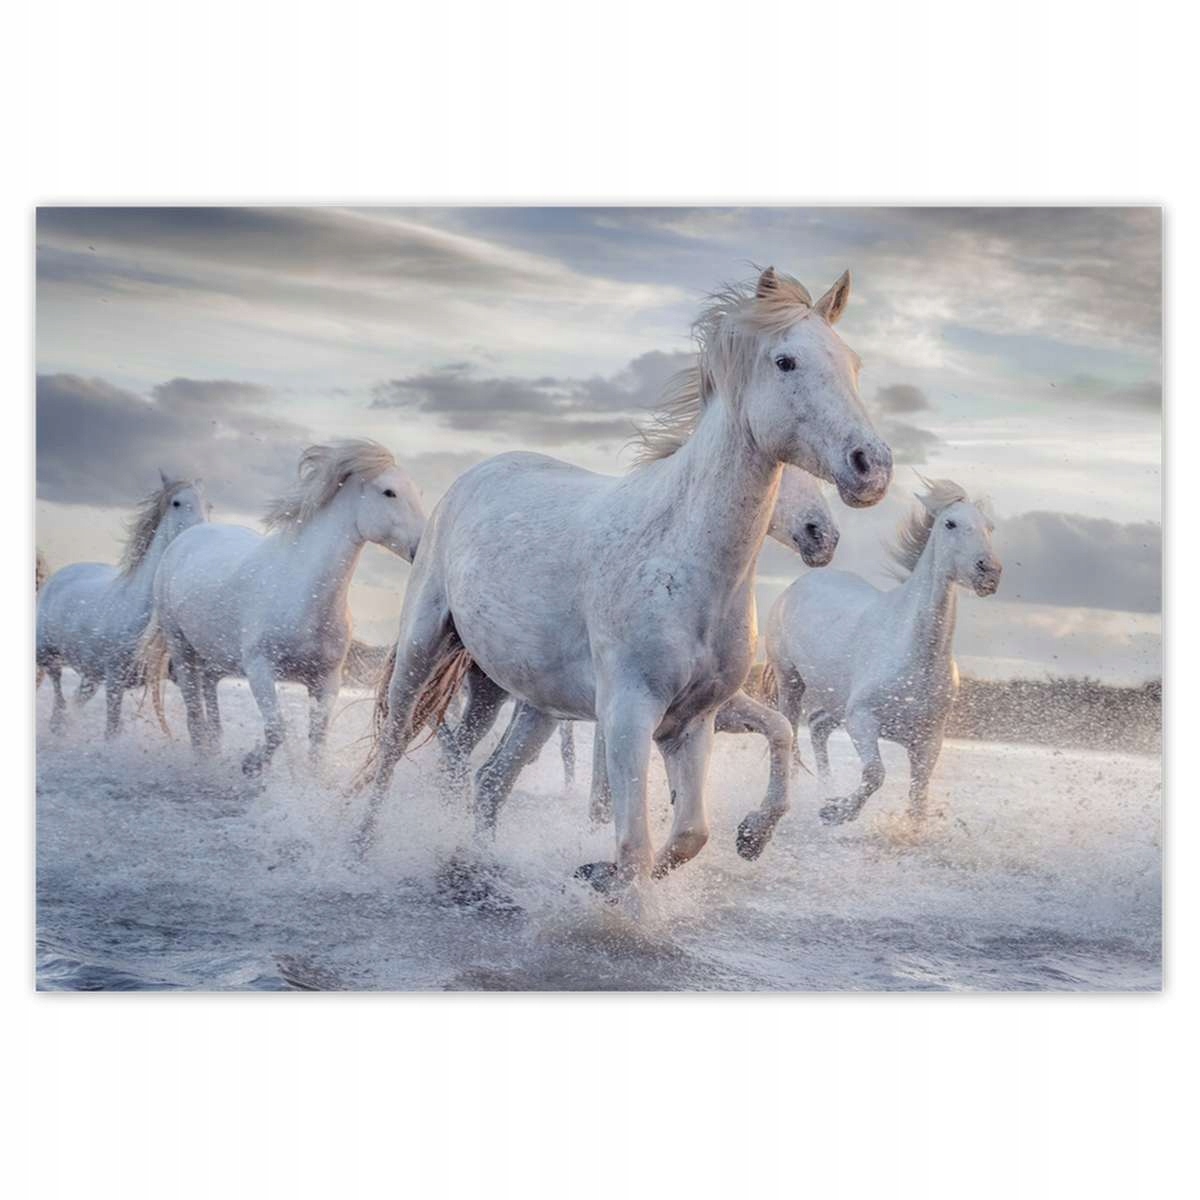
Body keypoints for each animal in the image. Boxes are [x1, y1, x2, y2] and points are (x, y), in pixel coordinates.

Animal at [36, 473, 210, 737]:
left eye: (207, 505)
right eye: (177, 503)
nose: (198, 535)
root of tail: (59, 575)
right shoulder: (114, 679)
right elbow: (112, 731)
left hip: (91, 676)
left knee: (73, 699)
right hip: (46, 653)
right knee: (57, 685)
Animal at [140, 440, 425, 775]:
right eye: (389, 492)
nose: (422, 547)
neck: (304, 595)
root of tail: (186, 538)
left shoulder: (326, 680)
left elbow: (316, 744)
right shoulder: (260, 669)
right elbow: (277, 730)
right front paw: (250, 764)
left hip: (214, 658)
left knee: (210, 702)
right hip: (181, 647)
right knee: (194, 715)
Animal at [435, 462, 841, 858]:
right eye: (783, 477)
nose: (822, 535)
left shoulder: (707, 709)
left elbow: (779, 728)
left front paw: (753, 834)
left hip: (538, 710)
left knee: (493, 774)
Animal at [764, 477, 1002, 826]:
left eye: (990, 527)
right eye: (950, 523)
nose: (989, 572)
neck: (916, 655)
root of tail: (798, 585)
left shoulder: (928, 740)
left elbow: (918, 797)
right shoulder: (862, 720)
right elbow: (875, 773)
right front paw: (837, 812)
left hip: (835, 701)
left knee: (818, 727)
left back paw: (826, 790)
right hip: (791, 681)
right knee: (791, 733)